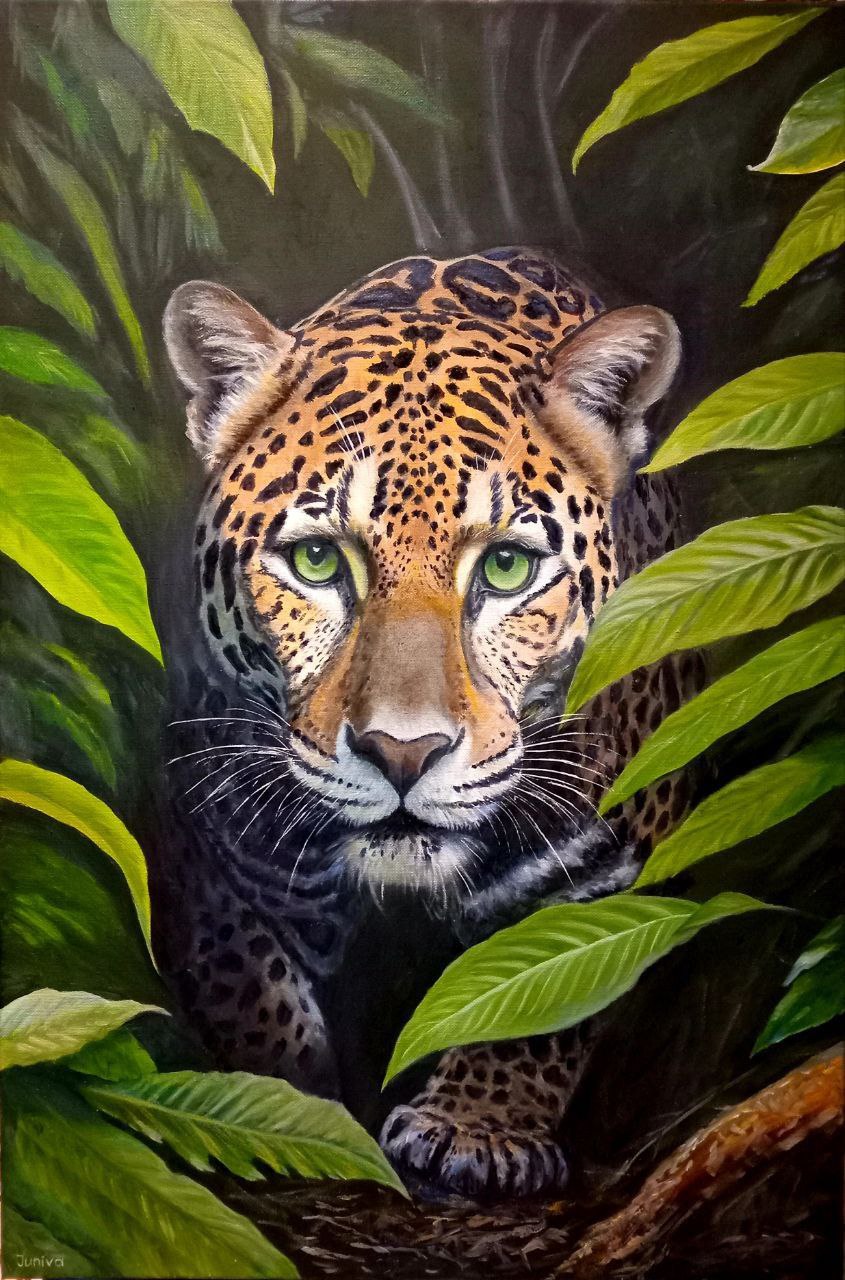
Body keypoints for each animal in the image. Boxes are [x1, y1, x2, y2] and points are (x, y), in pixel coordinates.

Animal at [154, 247, 705, 1203]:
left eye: (508, 567)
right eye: (316, 559)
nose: (402, 753)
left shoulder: (606, 856)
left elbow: (546, 994)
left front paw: (476, 1131)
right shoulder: (215, 834)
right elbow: (248, 985)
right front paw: (285, 1105)